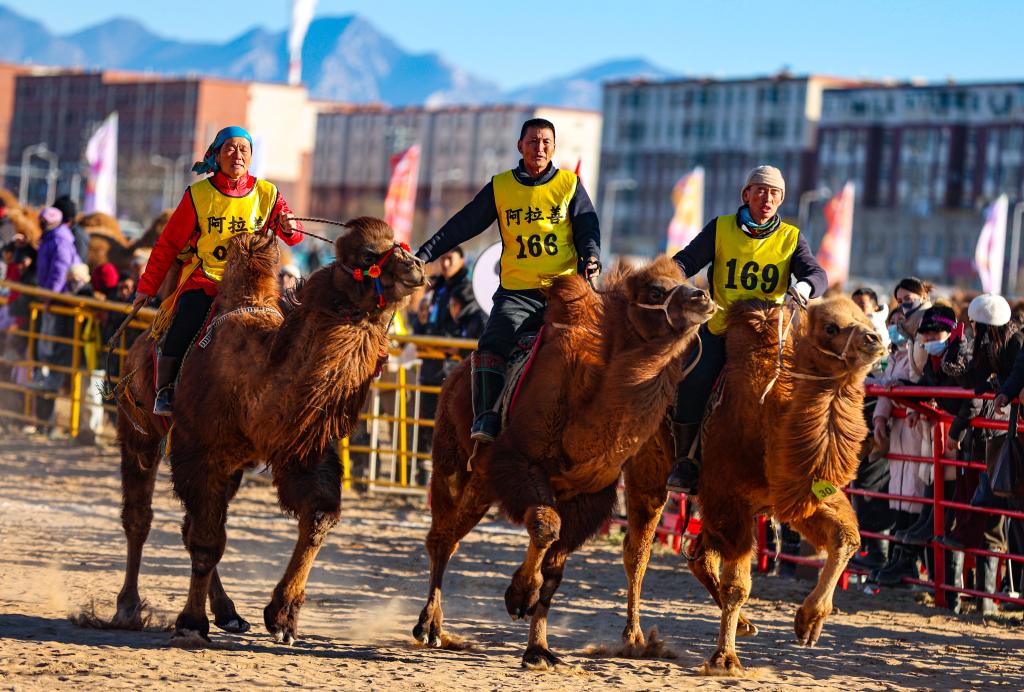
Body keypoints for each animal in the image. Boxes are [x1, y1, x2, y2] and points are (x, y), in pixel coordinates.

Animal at [112, 217, 425, 642]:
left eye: (397, 242)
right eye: (368, 254)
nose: (416, 265)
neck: (257, 379)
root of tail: (144, 338)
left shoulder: (297, 449)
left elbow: (318, 516)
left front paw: (282, 618)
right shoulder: (198, 451)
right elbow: (207, 542)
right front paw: (191, 623)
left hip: (231, 466)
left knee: (192, 524)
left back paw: (228, 612)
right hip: (140, 427)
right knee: (140, 515)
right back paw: (128, 607)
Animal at [413, 256, 716, 666]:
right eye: (656, 290)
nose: (703, 297)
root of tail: (453, 377)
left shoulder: (587, 496)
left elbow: (554, 570)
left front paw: (538, 649)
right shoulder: (519, 462)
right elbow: (545, 527)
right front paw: (518, 596)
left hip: (481, 485)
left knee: (453, 535)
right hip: (452, 461)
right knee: (442, 537)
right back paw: (429, 627)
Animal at [689, 297, 884, 674]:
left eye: (866, 318)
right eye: (831, 327)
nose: (875, 339)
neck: (768, 421)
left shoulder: (796, 496)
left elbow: (847, 538)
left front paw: (809, 621)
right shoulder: (728, 500)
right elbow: (737, 585)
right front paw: (725, 659)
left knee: (697, 556)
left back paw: (746, 624)